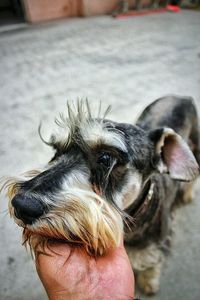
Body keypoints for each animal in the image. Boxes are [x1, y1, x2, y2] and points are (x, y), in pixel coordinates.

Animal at [2, 95, 198, 296]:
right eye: (57, 150)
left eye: (106, 158)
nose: (22, 205)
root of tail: (183, 97)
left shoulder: (156, 249)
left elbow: (151, 267)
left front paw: (149, 283)